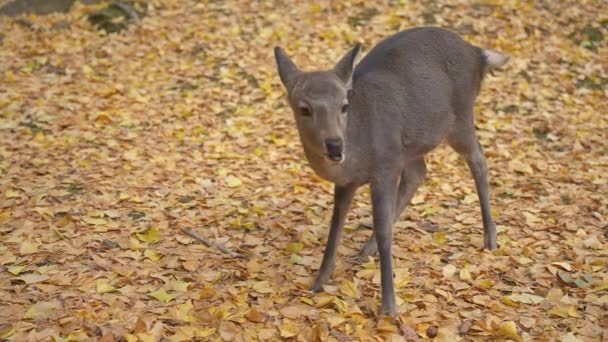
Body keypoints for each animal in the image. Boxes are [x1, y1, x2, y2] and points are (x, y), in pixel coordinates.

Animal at [276, 26, 508, 316]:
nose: (335, 145)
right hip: (413, 145)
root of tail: (478, 54)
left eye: (344, 106)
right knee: (419, 172)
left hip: (460, 118)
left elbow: (384, 228)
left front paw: (389, 306)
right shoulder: (349, 181)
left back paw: (490, 238)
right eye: (304, 108)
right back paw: (366, 249)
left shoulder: (385, 167)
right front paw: (318, 282)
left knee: (479, 160)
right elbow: (336, 224)